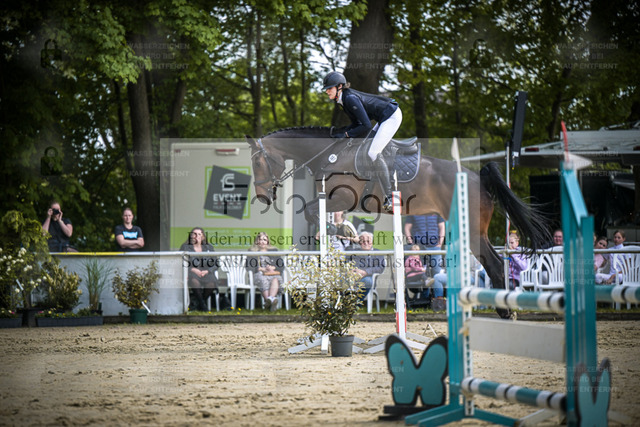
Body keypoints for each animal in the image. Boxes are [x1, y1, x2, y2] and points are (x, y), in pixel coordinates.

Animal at [246, 127, 550, 317]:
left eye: (258, 163)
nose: (262, 196)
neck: (331, 155)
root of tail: (480, 179)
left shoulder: (342, 198)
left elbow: (311, 211)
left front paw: (335, 232)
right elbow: (312, 211)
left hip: (473, 232)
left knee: (495, 264)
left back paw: (504, 311)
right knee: (496, 263)